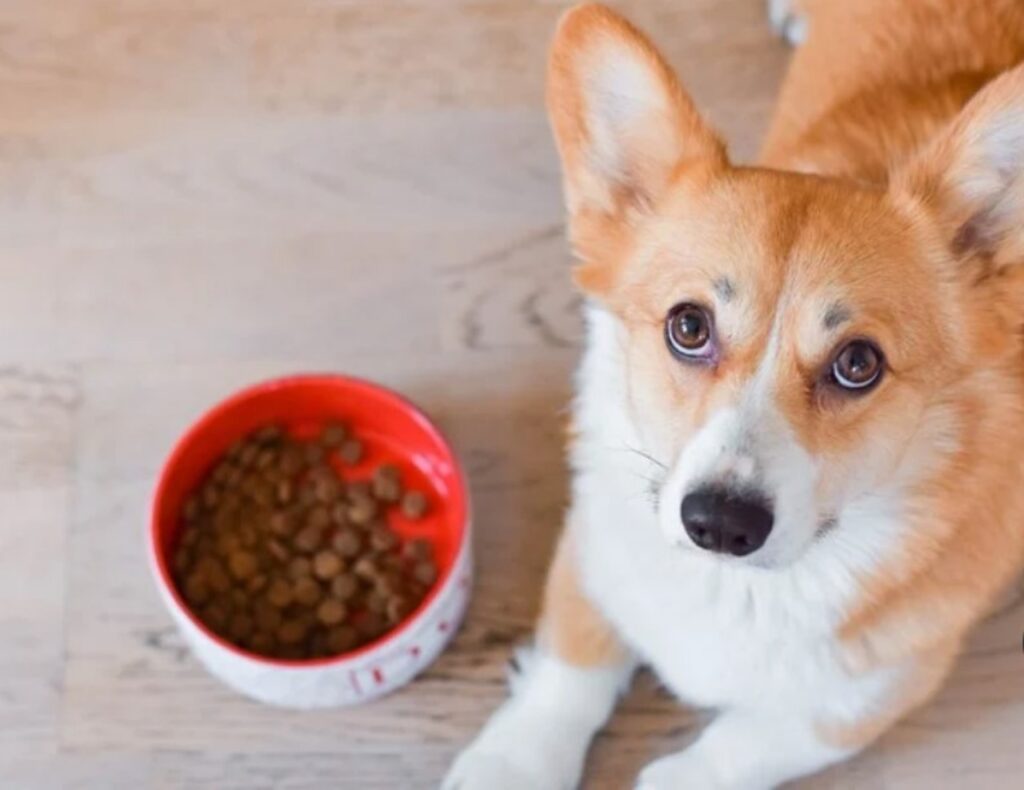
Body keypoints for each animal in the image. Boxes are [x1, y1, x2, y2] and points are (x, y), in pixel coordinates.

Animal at [444, 1, 1024, 790]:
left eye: (858, 363)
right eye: (689, 326)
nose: (718, 524)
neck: (736, 589)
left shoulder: (867, 695)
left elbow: (732, 748)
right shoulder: (595, 545)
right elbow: (569, 672)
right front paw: (514, 763)